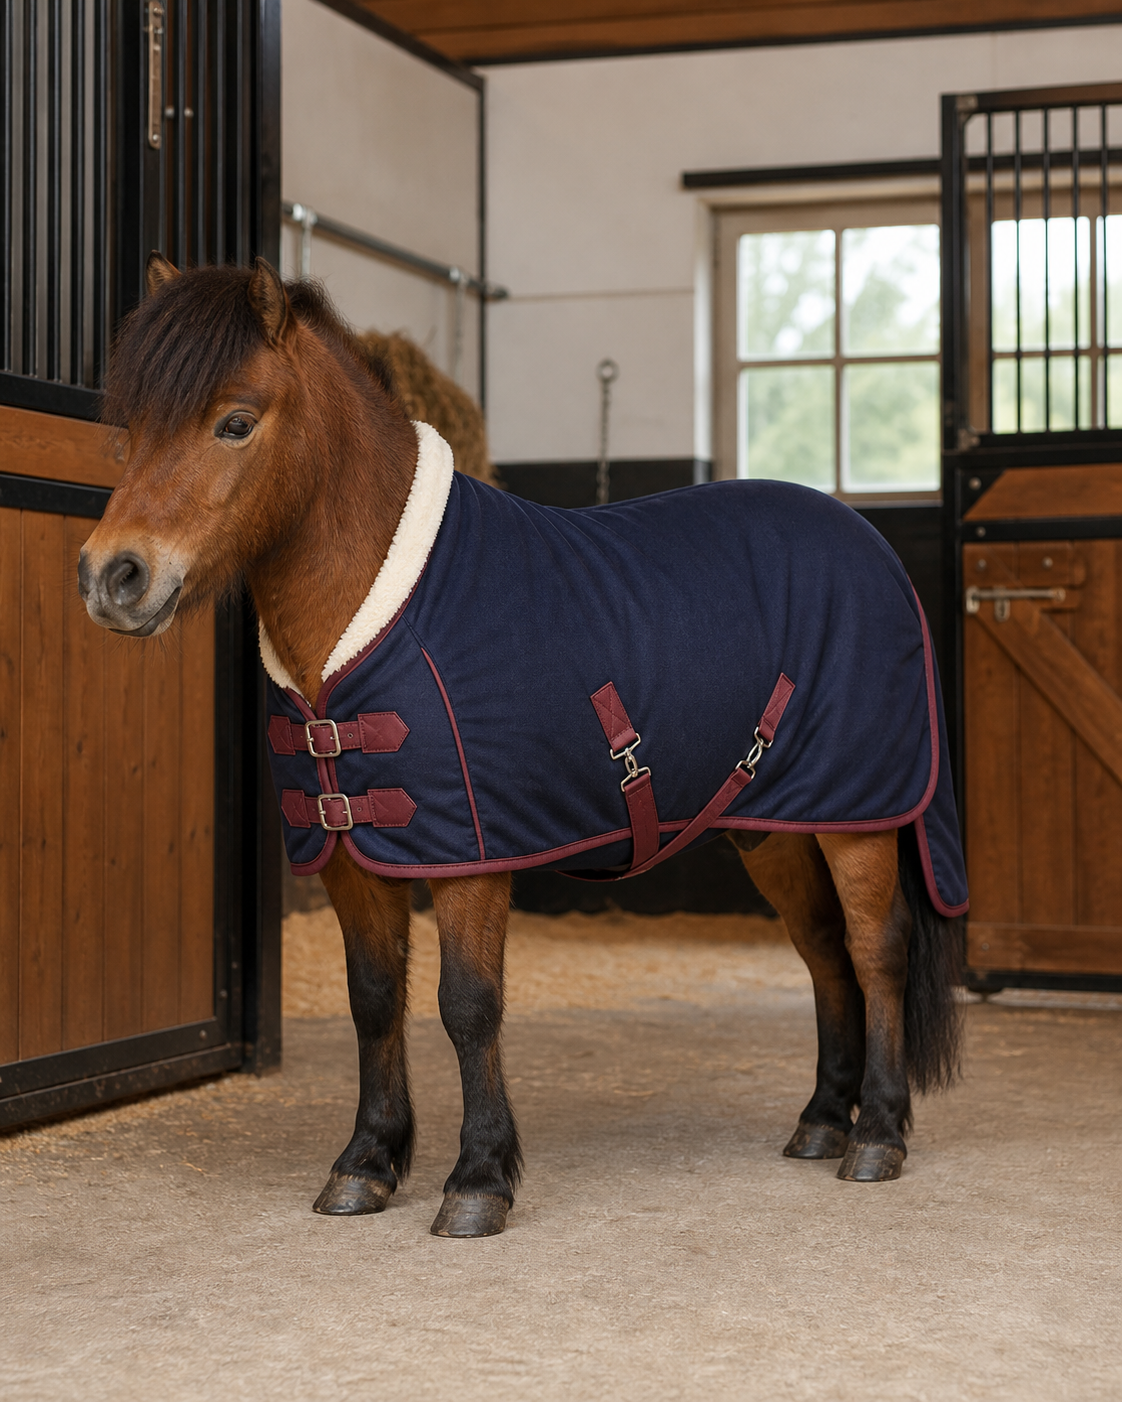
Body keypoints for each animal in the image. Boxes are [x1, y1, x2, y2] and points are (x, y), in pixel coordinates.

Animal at [79, 255, 966, 1239]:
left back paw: (876, 1134)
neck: (370, 619)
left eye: (235, 421)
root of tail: (869, 545)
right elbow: (373, 1000)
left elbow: (467, 1007)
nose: (113, 576)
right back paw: (820, 1120)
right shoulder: (352, 854)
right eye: (130, 428)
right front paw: (366, 1163)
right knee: (822, 950)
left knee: (876, 949)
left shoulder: (471, 857)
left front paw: (477, 1180)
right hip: (772, 826)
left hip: (860, 819)